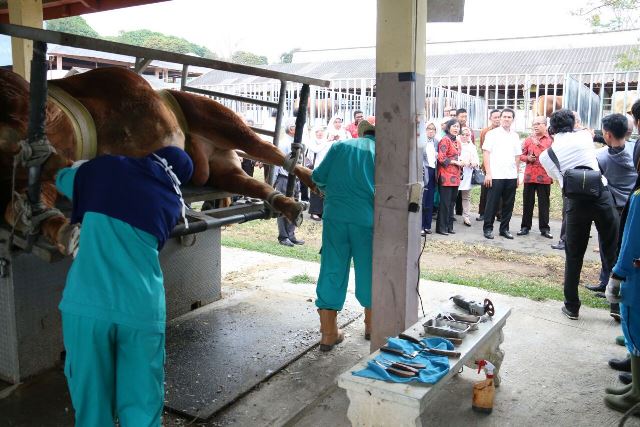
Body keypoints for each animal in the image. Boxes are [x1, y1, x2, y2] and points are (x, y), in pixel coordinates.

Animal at [1, 67, 316, 254]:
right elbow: (17, 209)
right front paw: (65, 230)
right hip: (224, 170)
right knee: (252, 183)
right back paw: (287, 204)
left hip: (219, 119)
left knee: (267, 149)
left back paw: (310, 180)